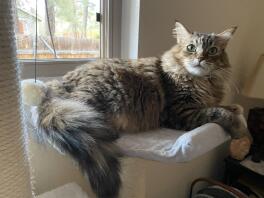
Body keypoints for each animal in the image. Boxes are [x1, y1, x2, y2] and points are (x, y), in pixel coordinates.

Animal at [31, 22, 252, 198]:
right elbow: (219, 113)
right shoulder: (181, 113)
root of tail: (56, 86)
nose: (200, 58)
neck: (201, 82)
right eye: (191, 48)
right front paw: (240, 131)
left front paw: (237, 113)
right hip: (98, 98)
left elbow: (227, 106)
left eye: (212, 50)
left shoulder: (205, 102)